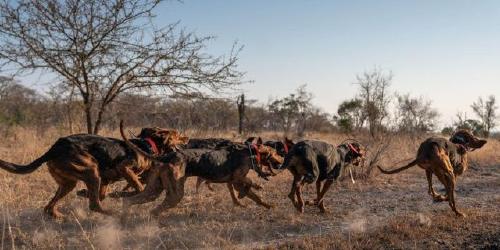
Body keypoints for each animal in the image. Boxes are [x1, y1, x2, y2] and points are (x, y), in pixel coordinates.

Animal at [0, 128, 187, 218]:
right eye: (178, 135)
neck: (147, 145)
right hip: (91, 171)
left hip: (70, 183)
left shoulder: (105, 180)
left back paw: (58, 215)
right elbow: (139, 187)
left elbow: (105, 194)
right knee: (94, 205)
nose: (187, 138)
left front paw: (87, 193)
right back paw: (113, 214)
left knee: (49, 207)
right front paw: (121, 195)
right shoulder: (124, 168)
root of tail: (54, 148)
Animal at [118, 121, 286, 215]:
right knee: (154, 211)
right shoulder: (238, 180)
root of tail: (166, 157)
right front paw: (253, 189)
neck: (251, 151)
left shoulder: (236, 182)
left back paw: (123, 219)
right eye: (275, 152)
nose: (283, 160)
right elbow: (249, 184)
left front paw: (268, 206)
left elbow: (256, 197)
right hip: (175, 194)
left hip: (153, 191)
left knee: (129, 202)